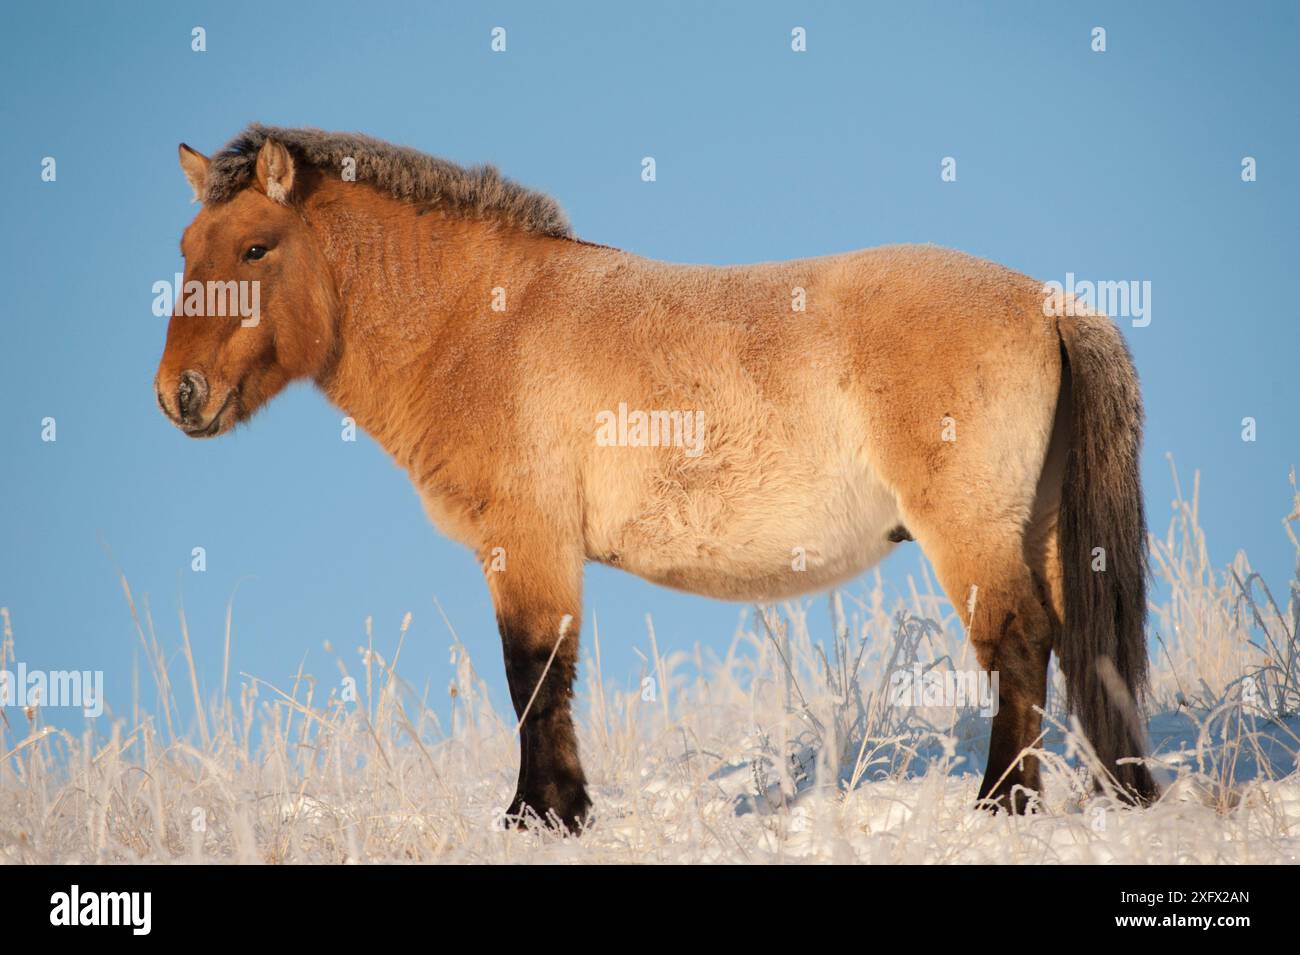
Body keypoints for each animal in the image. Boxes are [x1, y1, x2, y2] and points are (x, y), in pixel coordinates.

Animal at [152, 127, 1159, 831]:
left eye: (254, 249)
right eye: (185, 246)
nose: (178, 394)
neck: (480, 324)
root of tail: (1050, 304)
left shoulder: (529, 545)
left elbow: (534, 677)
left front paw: (541, 815)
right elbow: (542, 679)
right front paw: (557, 809)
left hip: (972, 532)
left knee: (1020, 642)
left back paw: (1000, 804)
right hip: (1042, 531)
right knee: (1077, 648)